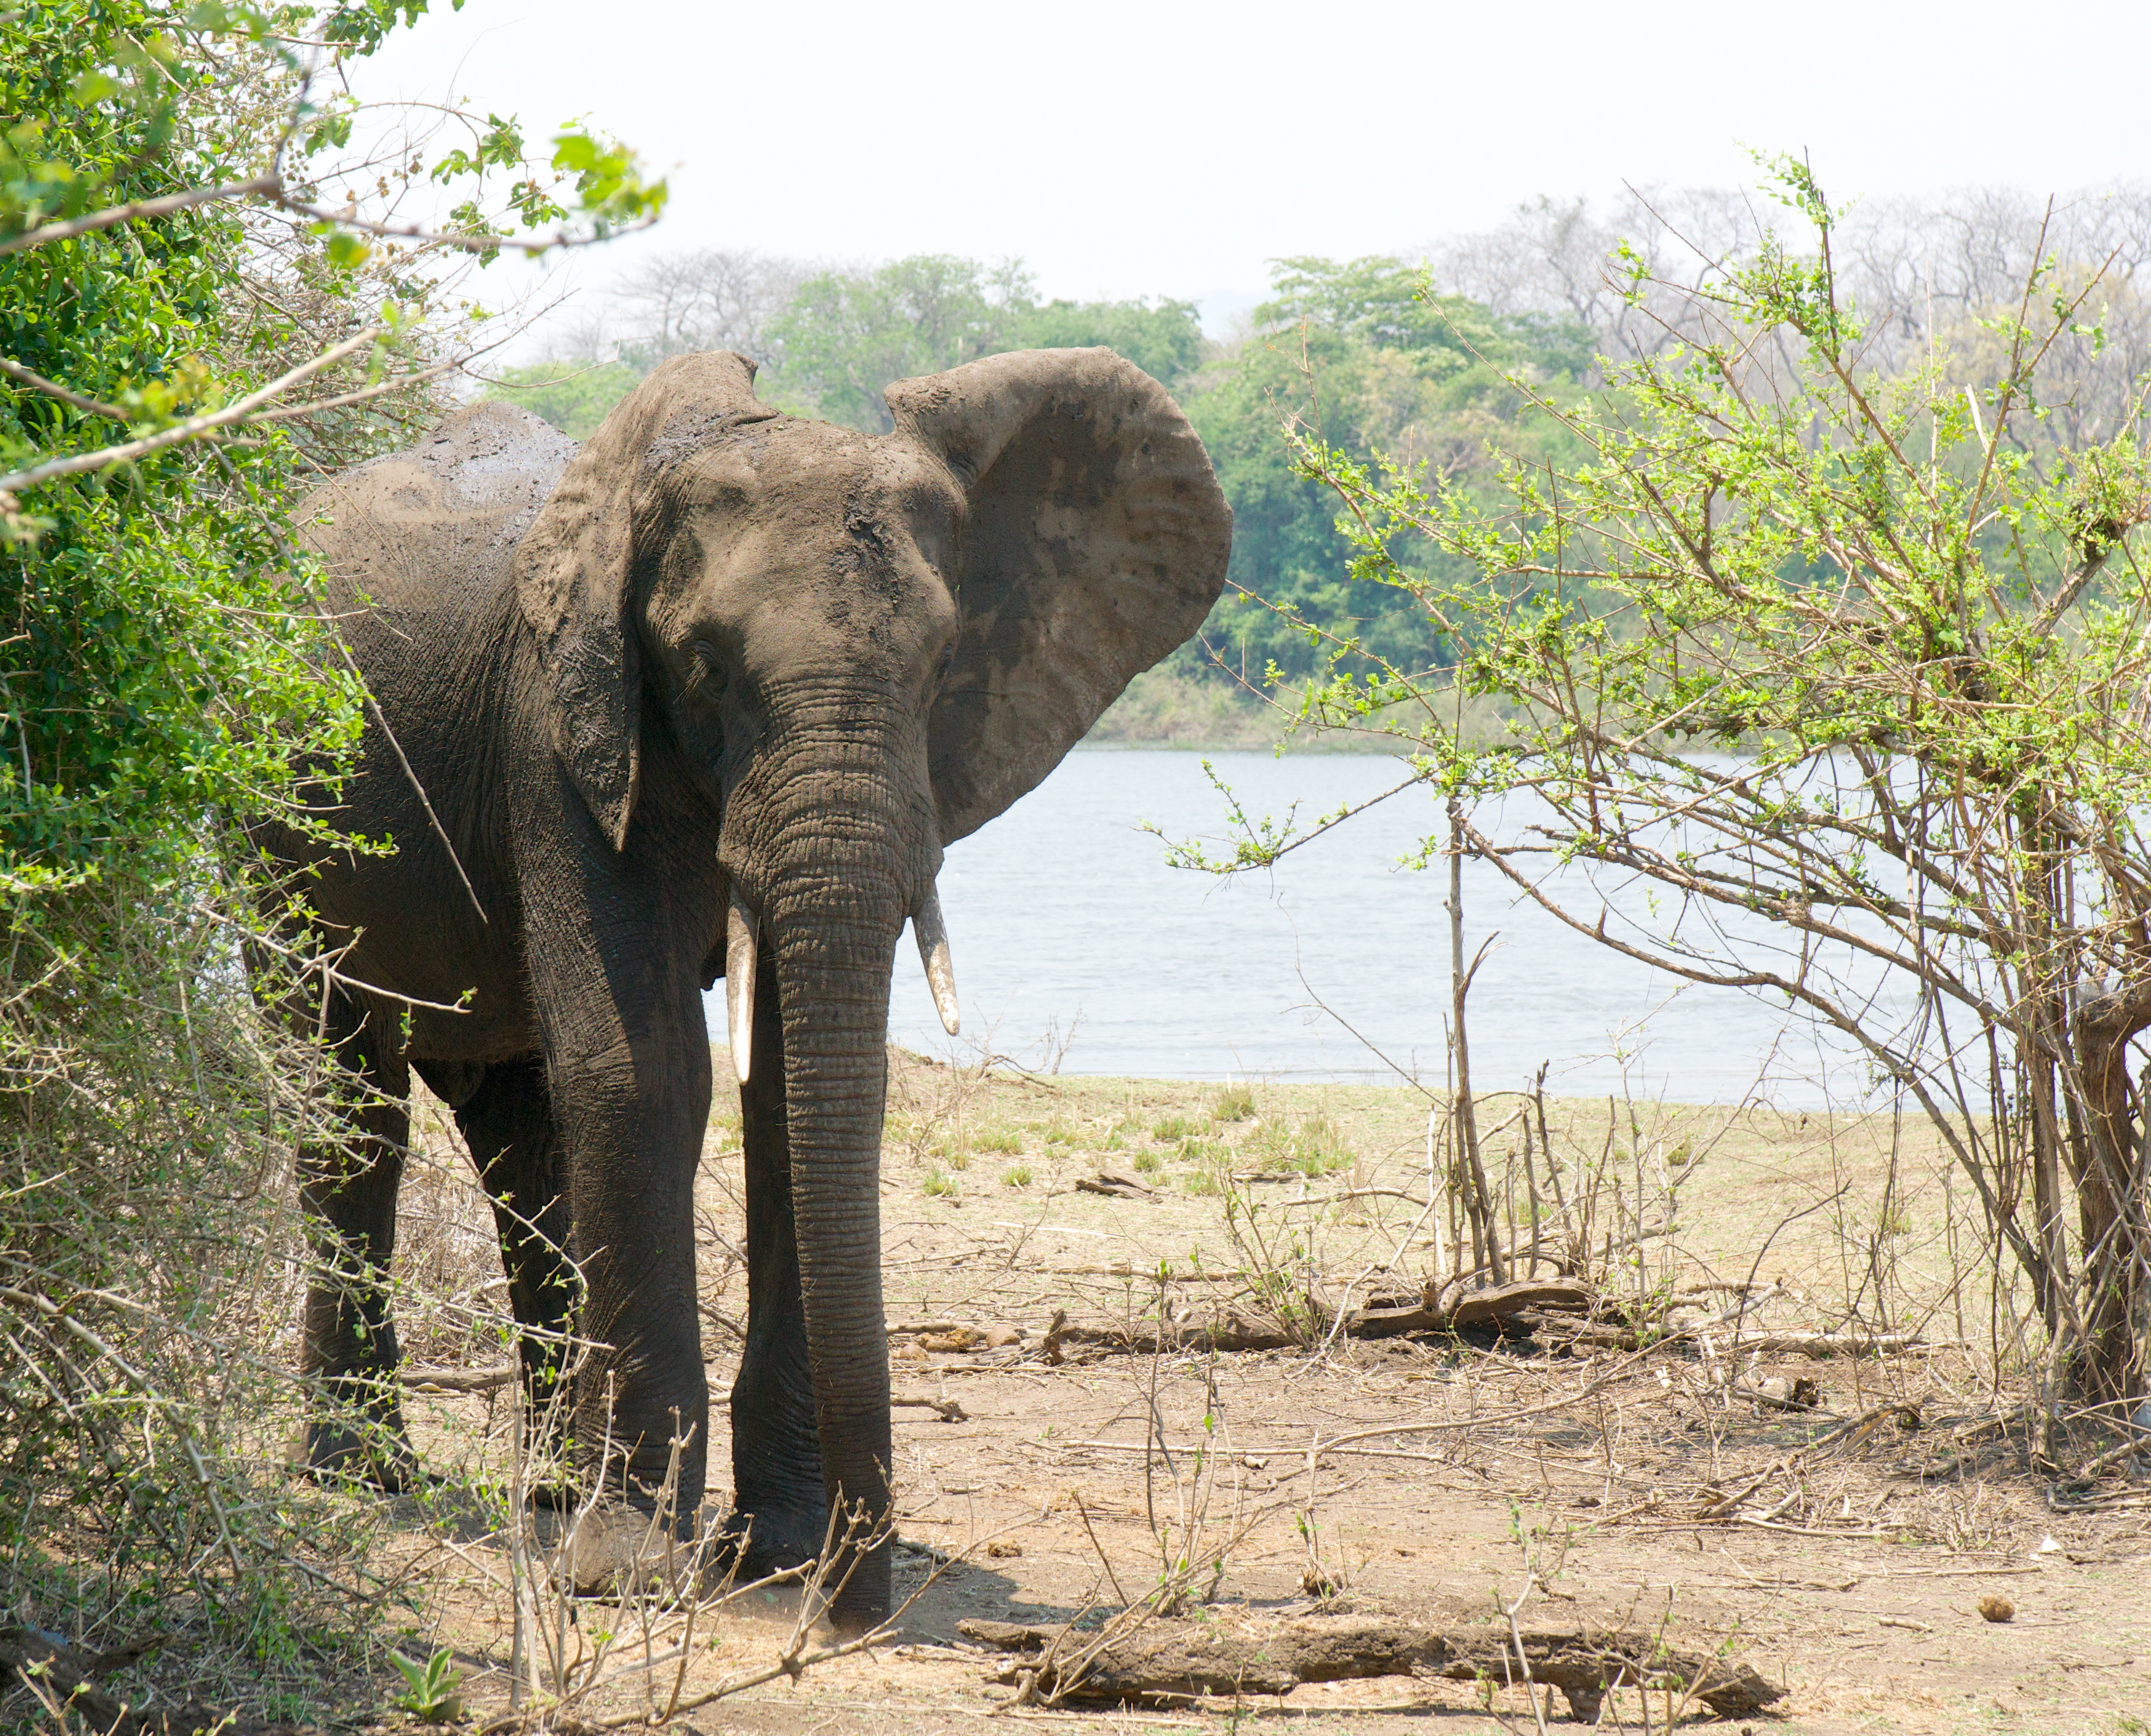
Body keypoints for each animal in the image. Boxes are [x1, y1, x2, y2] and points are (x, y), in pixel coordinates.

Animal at [272, 346, 1231, 1627]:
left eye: (941, 664)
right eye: (707, 664)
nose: (852, 1596)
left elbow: (785, 1094)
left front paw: (770, 1552)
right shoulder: (559, 733)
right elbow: (645, 1073)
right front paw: (631, 1572)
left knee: (522, 1131)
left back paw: (551, 1487)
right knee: (346, 1103)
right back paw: (363, 1477)